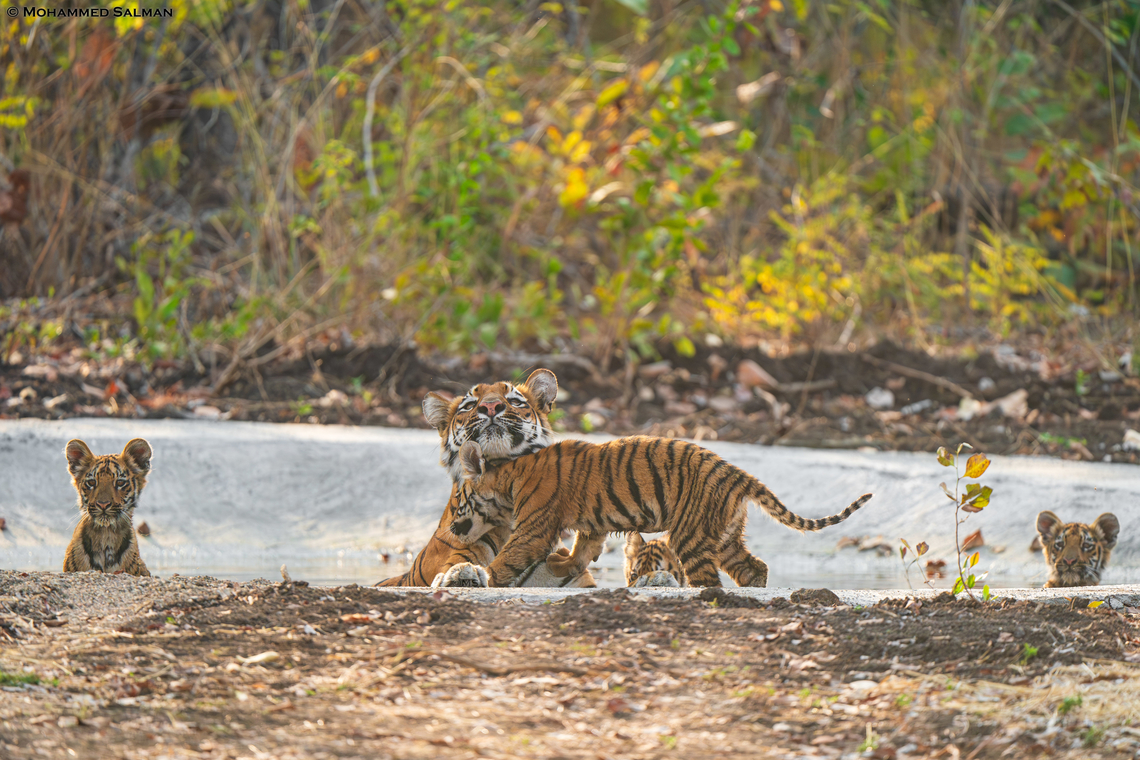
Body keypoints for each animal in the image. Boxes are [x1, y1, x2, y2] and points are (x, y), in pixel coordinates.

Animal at [447, 435, 872, 588]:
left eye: (455, 502)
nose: (450, 528)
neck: (509, 476)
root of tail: (738, 474)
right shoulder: (592, 526)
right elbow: (584, 549)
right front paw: (561, 564)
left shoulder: (533, 527)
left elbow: (508, 557)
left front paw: (482, 576)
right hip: (724, 537)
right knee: (755, 568)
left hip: (692, 536)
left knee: (707, 580)